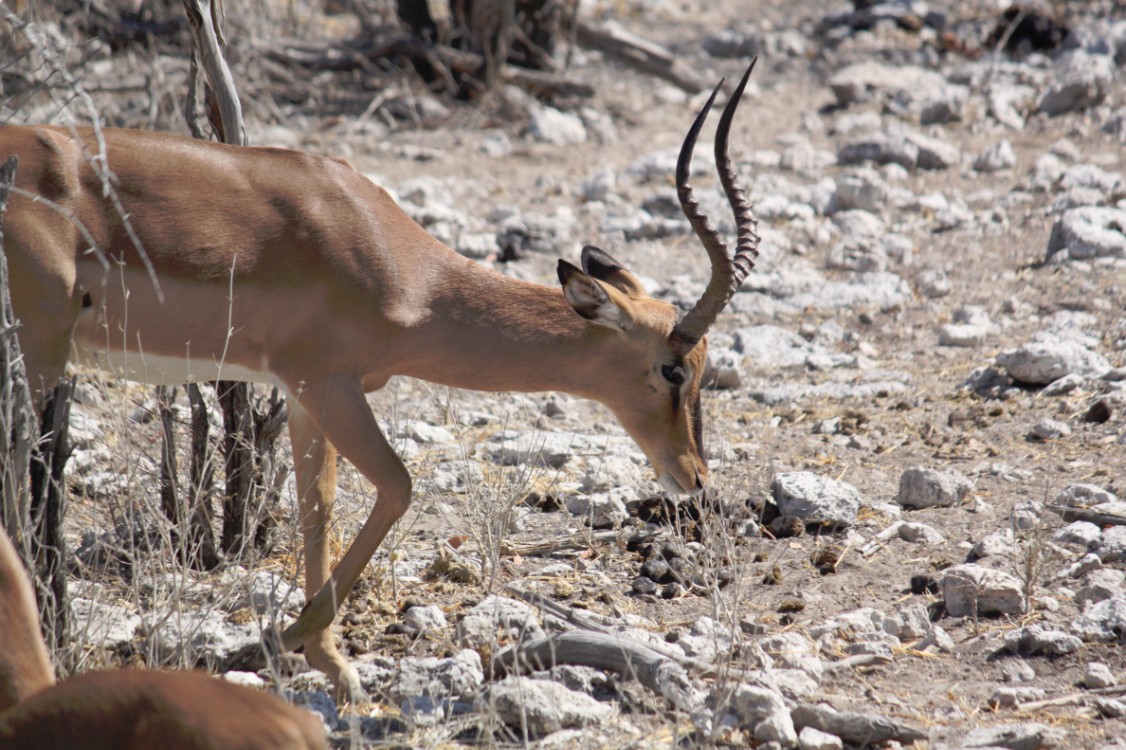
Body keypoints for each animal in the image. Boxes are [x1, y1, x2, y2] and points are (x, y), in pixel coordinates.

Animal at [0, 61, 761, 698]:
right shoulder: (328, 384)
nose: (694, 476)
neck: (403, 269)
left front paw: (328, 662)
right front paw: (285, 642)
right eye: (673, 367)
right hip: (38, 351)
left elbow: (318, 506)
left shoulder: (305, 395)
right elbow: (397, 485)